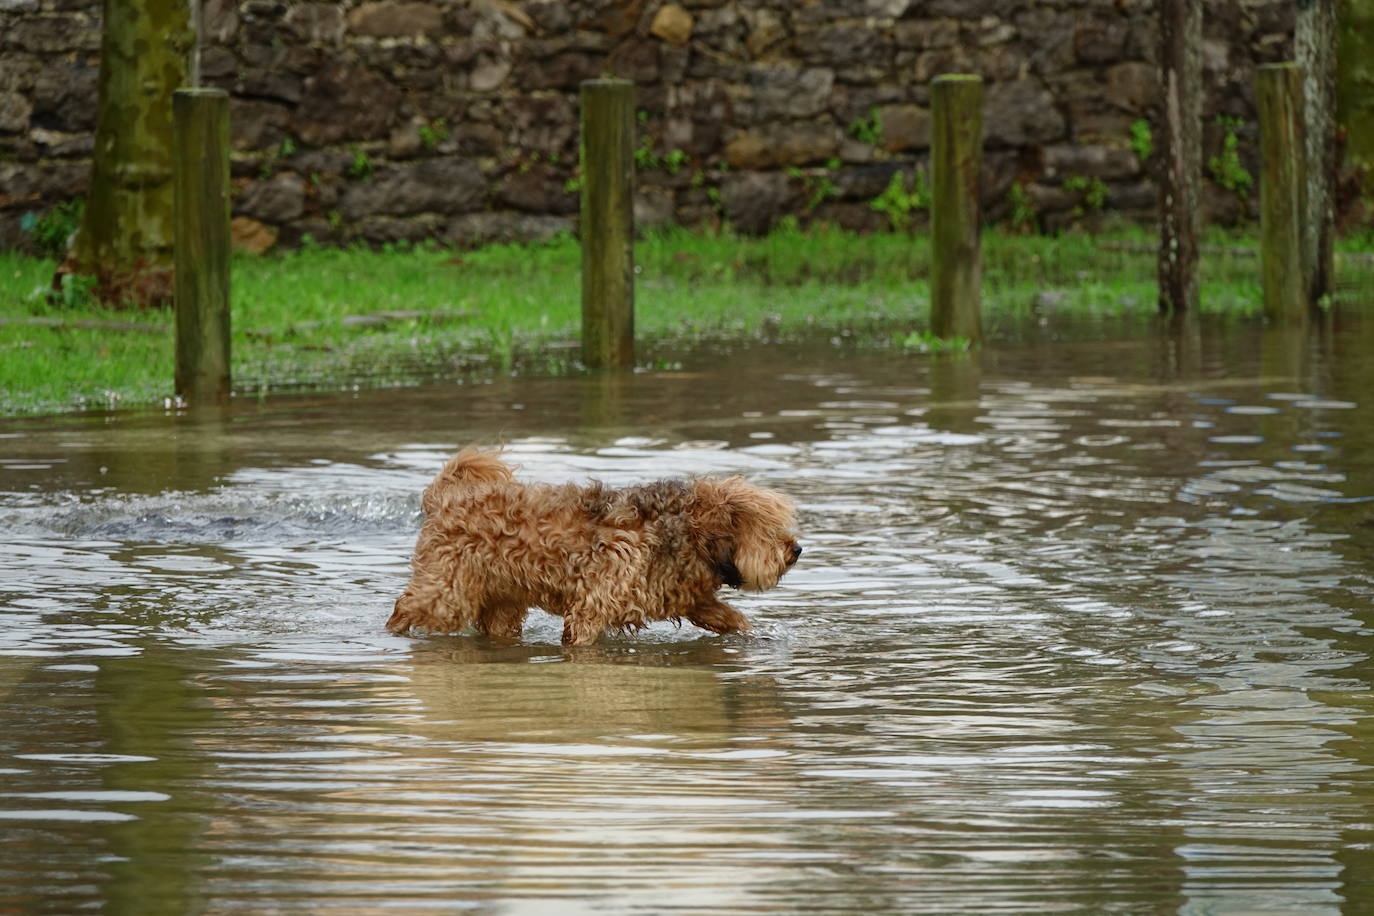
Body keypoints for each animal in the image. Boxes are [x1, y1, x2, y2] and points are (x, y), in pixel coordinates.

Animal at [387, 450, 802, 645]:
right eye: (768, 529)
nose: (796, 550)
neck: (681, 531)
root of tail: (445, 498)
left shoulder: (689, 597)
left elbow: (732, 619)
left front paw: (755, 637)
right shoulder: (591, 606)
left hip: (502, 604)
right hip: (446, 595)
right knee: (405, 606)